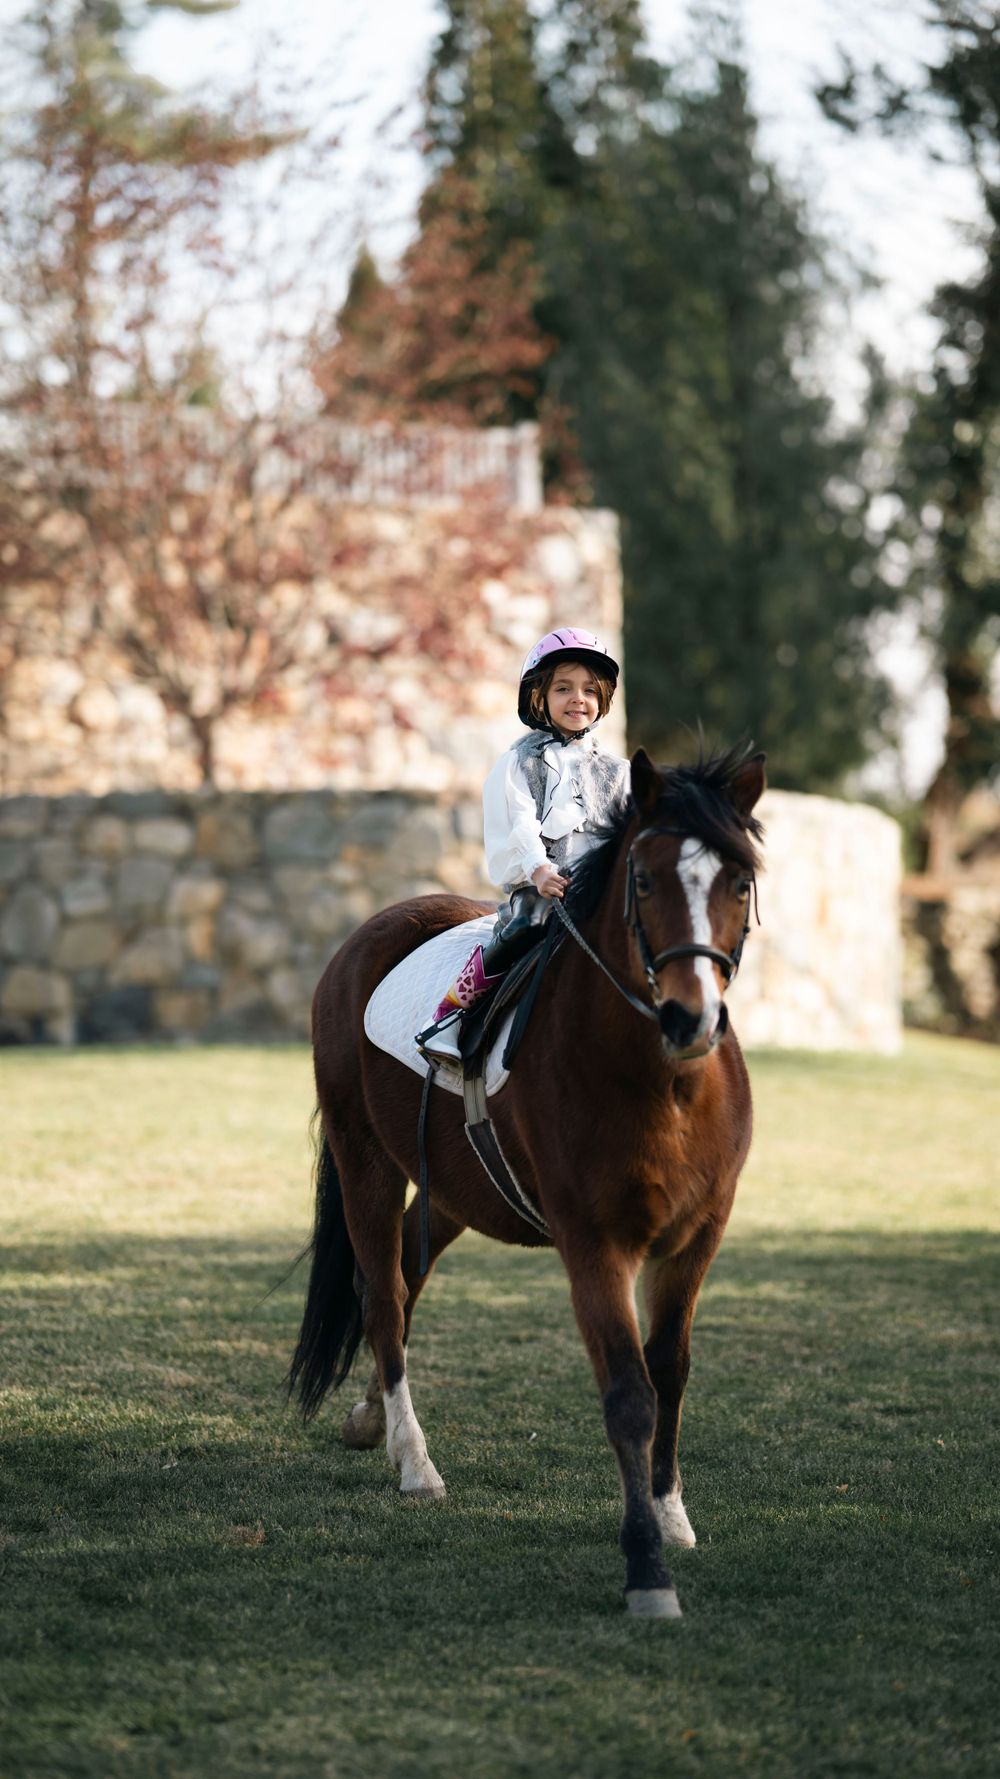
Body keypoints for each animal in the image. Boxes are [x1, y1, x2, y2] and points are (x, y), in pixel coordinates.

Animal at [288, 744, 765, 1619]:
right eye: (644, 879)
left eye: (738, 882)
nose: (691, 1019)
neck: (663, 1082)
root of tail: (367, 936)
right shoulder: (595, 1245)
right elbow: (629, 1392)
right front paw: (646, 1569)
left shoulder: (697, 1237)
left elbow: (671, 1369)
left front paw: (671, 1513)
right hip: (365, 1158)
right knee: (384, 1297)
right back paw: (415, 1462)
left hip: (450, 1187)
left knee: (405, 1279)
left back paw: (374, 1422)